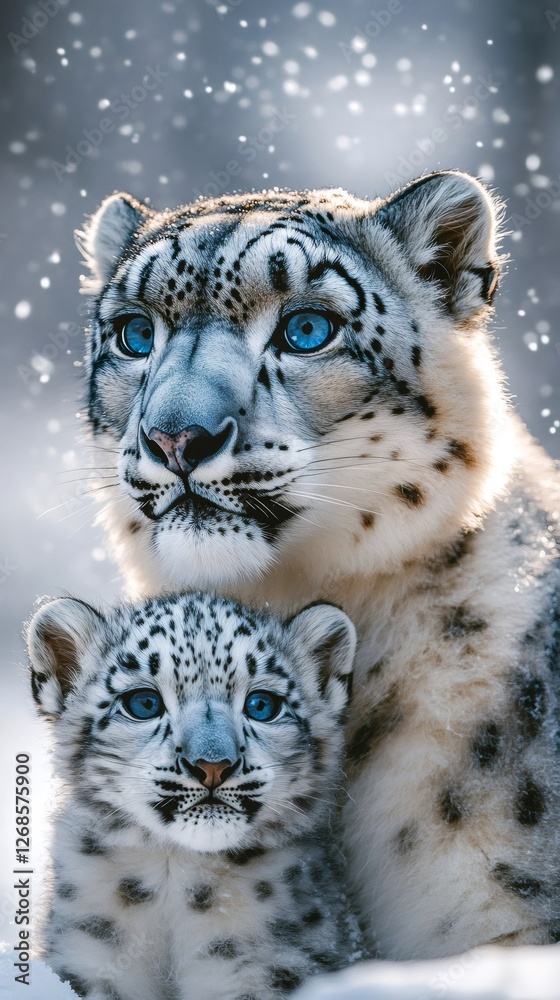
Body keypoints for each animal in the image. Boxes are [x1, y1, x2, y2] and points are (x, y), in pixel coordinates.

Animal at [26, 591, 363, 999]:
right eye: (144, 703)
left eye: (262, 705)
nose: (213, 765)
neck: (174, 875)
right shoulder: (88, 957)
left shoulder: (272, 969)